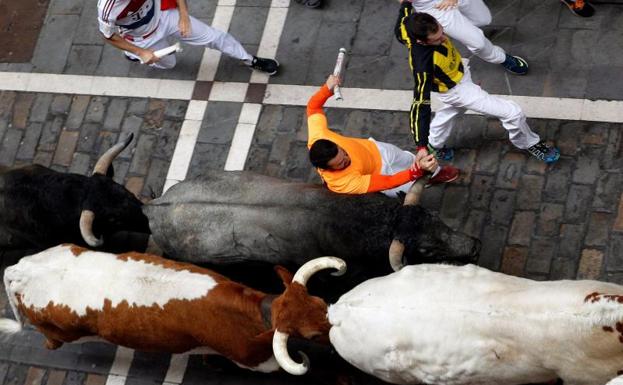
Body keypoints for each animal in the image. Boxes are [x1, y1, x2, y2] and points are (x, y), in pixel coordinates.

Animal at [0, 243, 342, 372]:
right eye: (312, 335)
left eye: (320, 302)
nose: (338, 331)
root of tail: (20, 270)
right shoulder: (252, 359)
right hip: (59, 334)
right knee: (51, 342)